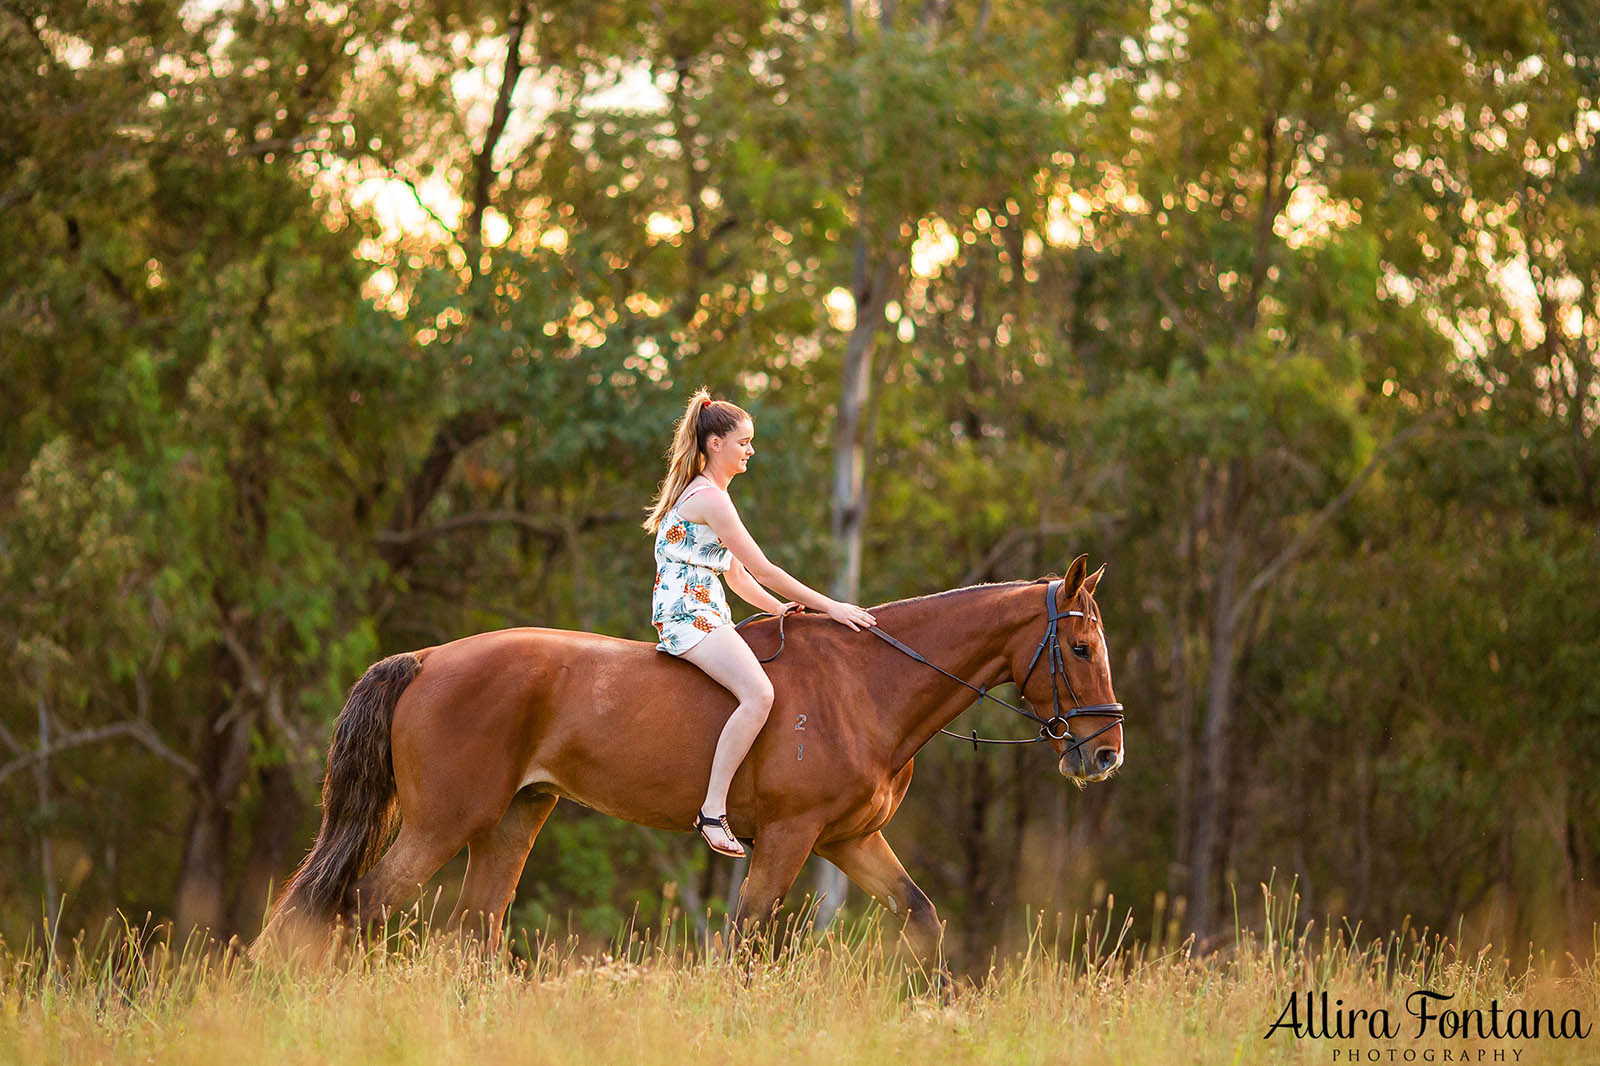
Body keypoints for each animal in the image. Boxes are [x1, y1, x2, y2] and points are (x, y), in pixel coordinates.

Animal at [256, 550, 1120, 960]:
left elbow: (922, 917)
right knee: (364, 906)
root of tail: (431, 658)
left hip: (512, 820)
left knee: (474, 927)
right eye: (1079, 648)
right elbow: (744, 940)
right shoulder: (789, 838)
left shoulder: (849, 839)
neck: (865, 684)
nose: (1107, 753)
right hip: (443, 822)